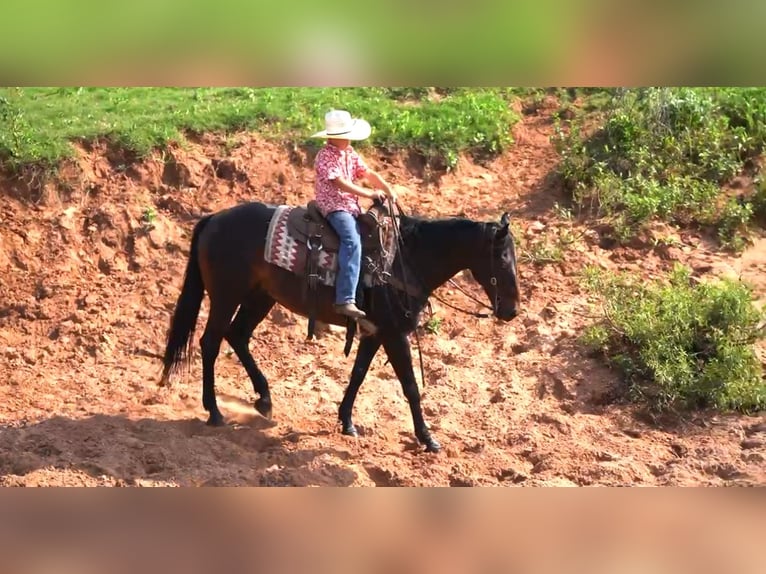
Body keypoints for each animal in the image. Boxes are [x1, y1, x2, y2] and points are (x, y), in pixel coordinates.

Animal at [161, 202, 520, 454]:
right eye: (503, 258)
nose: (512, 310)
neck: (405, 258)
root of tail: (214, 218)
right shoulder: (394, 333)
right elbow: (410, 386)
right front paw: (427, 438)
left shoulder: (374, 332)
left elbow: (358, 374)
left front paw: (346, 421)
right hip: (226, 295)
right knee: (211, 342)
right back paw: (214, 411)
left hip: (260, 297)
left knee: (237, 336)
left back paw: (264, 400)